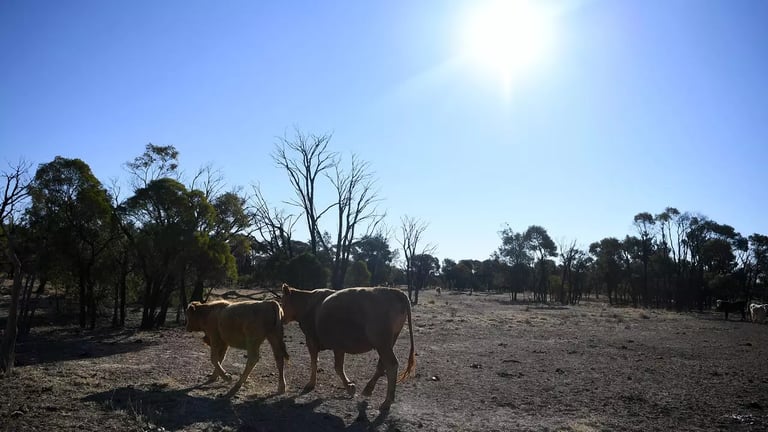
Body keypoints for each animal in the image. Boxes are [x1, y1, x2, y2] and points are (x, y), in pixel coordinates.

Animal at [279, 283, 416, 411]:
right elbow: (337, 366)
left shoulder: (312, 340)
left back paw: (387, 402)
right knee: (382, 366)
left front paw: (314, 384)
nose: (282, 319)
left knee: (391, 365)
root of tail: (395, 292)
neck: (307, 303)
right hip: (388, 342)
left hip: (382, 343)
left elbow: (320, 363)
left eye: (282, 302)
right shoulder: (339, 346)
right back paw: (368, 389)